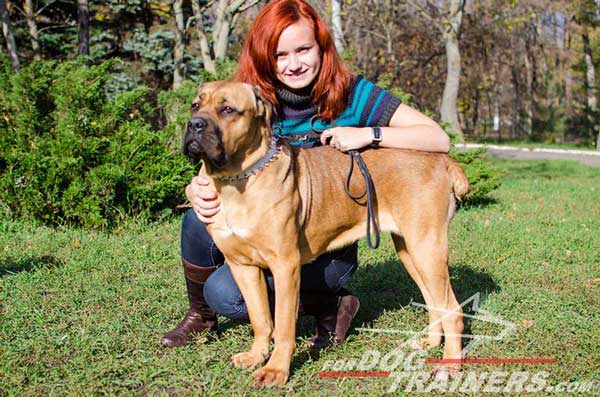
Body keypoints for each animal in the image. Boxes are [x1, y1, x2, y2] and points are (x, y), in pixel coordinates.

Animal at [183, 80, 468, 386]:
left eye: (227, 109)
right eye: (195, 105)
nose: (194, 124)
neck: (237, 180)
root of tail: (445, 161)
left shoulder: (285, 266)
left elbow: (283, 324)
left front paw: (276, 370)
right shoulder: (242, 266)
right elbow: (261, 318)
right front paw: (256, 355)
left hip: (427, 247)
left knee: (452, 308)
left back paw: (450, 366)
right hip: (410, 250)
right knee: (433, 301)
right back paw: (429, 343)